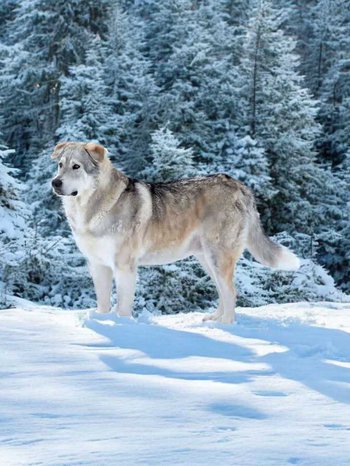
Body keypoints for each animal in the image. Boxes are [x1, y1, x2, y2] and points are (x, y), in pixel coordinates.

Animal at [50, 141, 300, 324]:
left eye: (76, 166)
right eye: (60, 165)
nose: (55, 183)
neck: (92, 210)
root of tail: (239, 185)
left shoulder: (124, 266)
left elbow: (122, 306)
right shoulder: (97, 265)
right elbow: (103, 303)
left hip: (218, 258)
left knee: (231, 293)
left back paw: (225, 326)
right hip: (207, 260)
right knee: (223, 292)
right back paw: (213, 320)